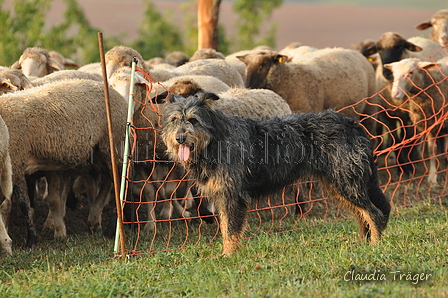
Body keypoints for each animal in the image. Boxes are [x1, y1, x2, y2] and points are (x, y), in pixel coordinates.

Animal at [0, 78, 127, 249]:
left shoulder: (15, 160)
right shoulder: (17, 165)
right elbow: (25, 205)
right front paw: (31, 240)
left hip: (114, 145)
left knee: (120, 186)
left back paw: (111, 230)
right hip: (98, 153)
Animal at [160, 92, 388, 255]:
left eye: (193, 120)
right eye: (174, 120)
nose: (180, 138)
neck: (214, 140)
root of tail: (353, 124)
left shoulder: (232, 195)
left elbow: (230, 229)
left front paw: (228, 256)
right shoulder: (223, 196)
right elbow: (225, 227)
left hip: (345, 182)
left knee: (374, 214)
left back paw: (376, 247)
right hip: (339, 184)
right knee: (362, 215)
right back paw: (363, 244)